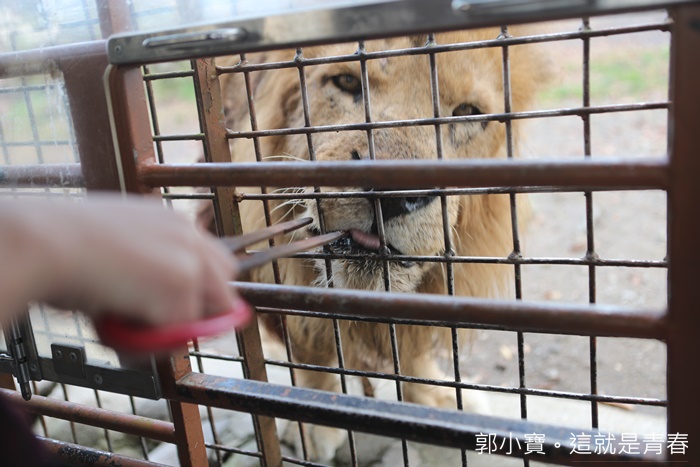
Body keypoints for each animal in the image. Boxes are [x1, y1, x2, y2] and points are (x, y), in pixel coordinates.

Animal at [202, 29, 549, 461]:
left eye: (467, 112)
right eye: (347, 81)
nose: (393, 192)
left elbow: (413, 343)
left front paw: (438, 401)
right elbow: (307, 342)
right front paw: (312, 420)